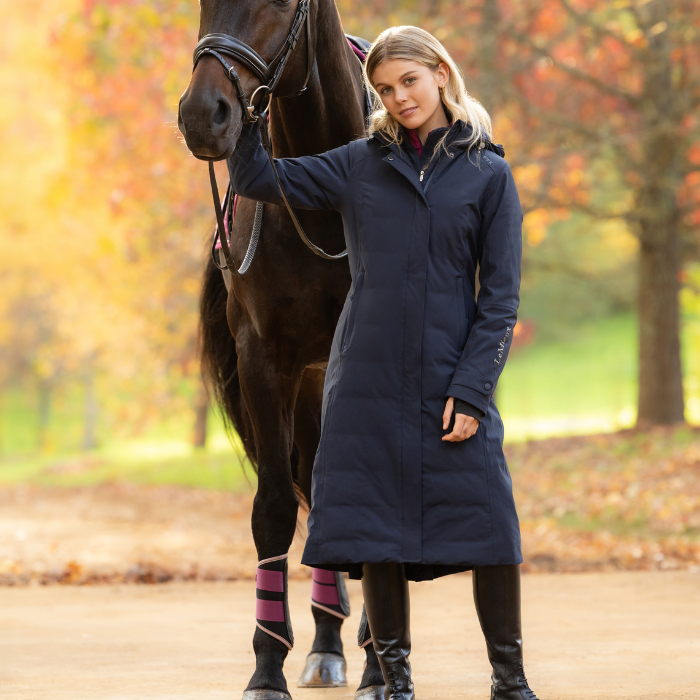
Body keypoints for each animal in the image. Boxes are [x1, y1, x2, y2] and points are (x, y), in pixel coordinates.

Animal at [177, 1, 384, 698]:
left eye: (280, 4)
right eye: (203, 4)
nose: (203, 113)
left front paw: (380, 665)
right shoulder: (265, 360)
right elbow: (272, 510)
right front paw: (268, 668)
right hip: (309, 384)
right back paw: (326, 645)